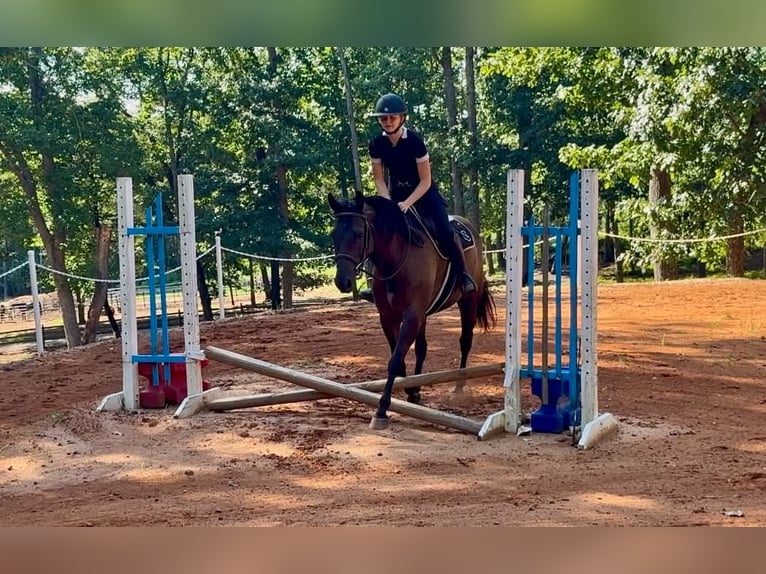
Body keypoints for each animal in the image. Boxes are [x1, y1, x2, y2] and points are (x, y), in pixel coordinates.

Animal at [328, 190, 497, 430]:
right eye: (334, 235)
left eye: (359, 233)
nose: (343, 282)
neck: (395, 260)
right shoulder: (389, 317)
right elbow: (399, 358)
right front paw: (408, 391)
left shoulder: (412, 315)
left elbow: (395, 359)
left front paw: (381, 410)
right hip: (424, 315)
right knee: (422, 348)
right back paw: (416, 388)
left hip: (468, 302)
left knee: (465, 342)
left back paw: (458, 388)